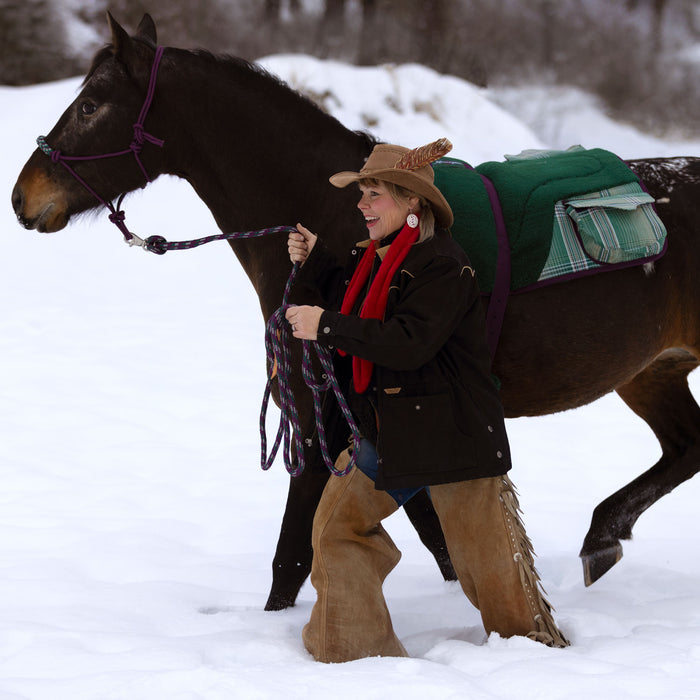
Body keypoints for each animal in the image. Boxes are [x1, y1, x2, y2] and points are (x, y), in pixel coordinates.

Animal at [12, 15, 700, 608]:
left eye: (91, 106)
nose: (22, 197)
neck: (338, 219)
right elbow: (435, 536)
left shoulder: (325, 421)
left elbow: (294, 553)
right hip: (652, 372)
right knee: (685, 448)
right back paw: (602, 538)